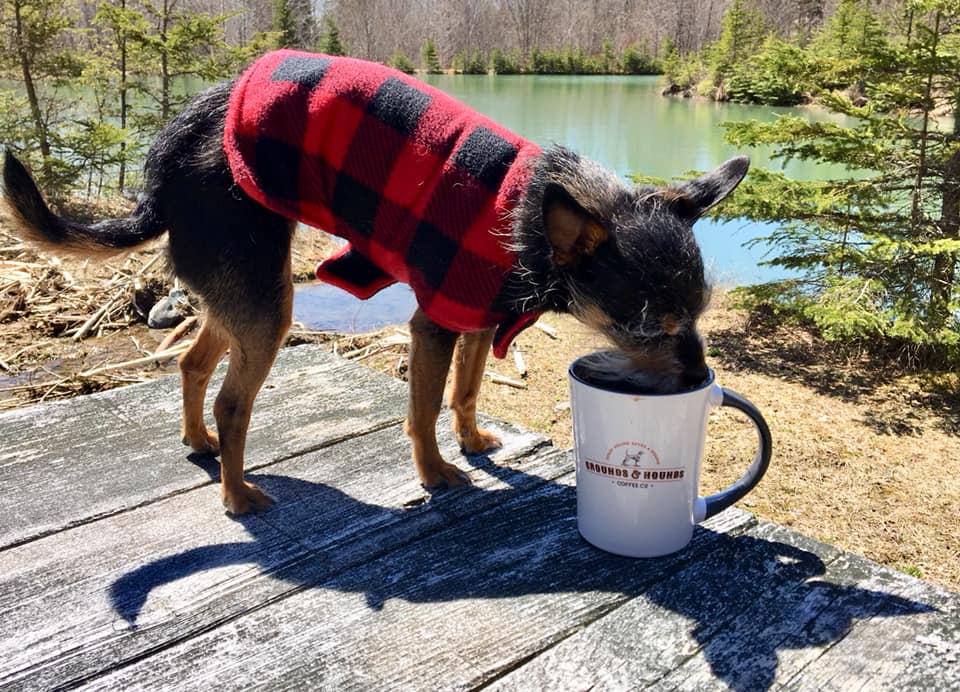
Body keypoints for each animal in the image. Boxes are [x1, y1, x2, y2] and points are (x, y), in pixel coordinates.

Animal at [0, 50, 752, 512]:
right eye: (644, 327)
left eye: (699, 316)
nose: (698, 379)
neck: (532, 224)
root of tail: (164, 158)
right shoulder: (434, 321)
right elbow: (422, 409)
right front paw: (436, 473)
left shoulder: (475, 316)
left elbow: (467, 391)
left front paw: (474, 441)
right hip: (267, 303)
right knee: (232, 402)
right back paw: (237, 495)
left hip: (237, 293)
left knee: (191, 363)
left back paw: (202, 446)